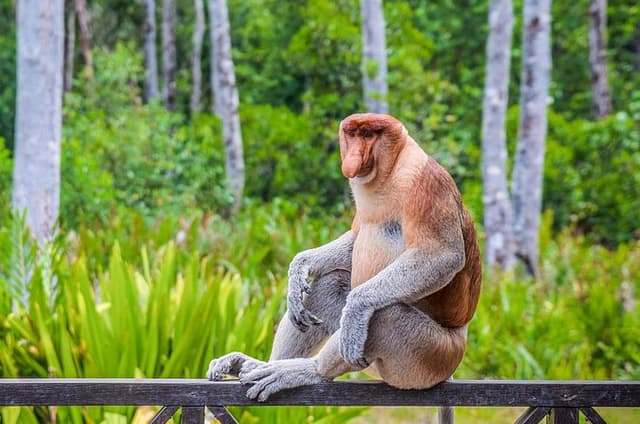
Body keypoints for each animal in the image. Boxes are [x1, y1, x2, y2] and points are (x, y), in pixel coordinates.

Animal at [207, 113, 482, 419]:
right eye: (352, 134)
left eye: (369, 135)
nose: (353, 158)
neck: (388, 175)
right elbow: (353, 240)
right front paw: (298, 272)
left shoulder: (427, 184)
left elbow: (443, 254)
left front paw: (355, 310)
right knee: (331, 282)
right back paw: (254, 363)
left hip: (430, 356)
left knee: (385, 316)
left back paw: (308, 370)